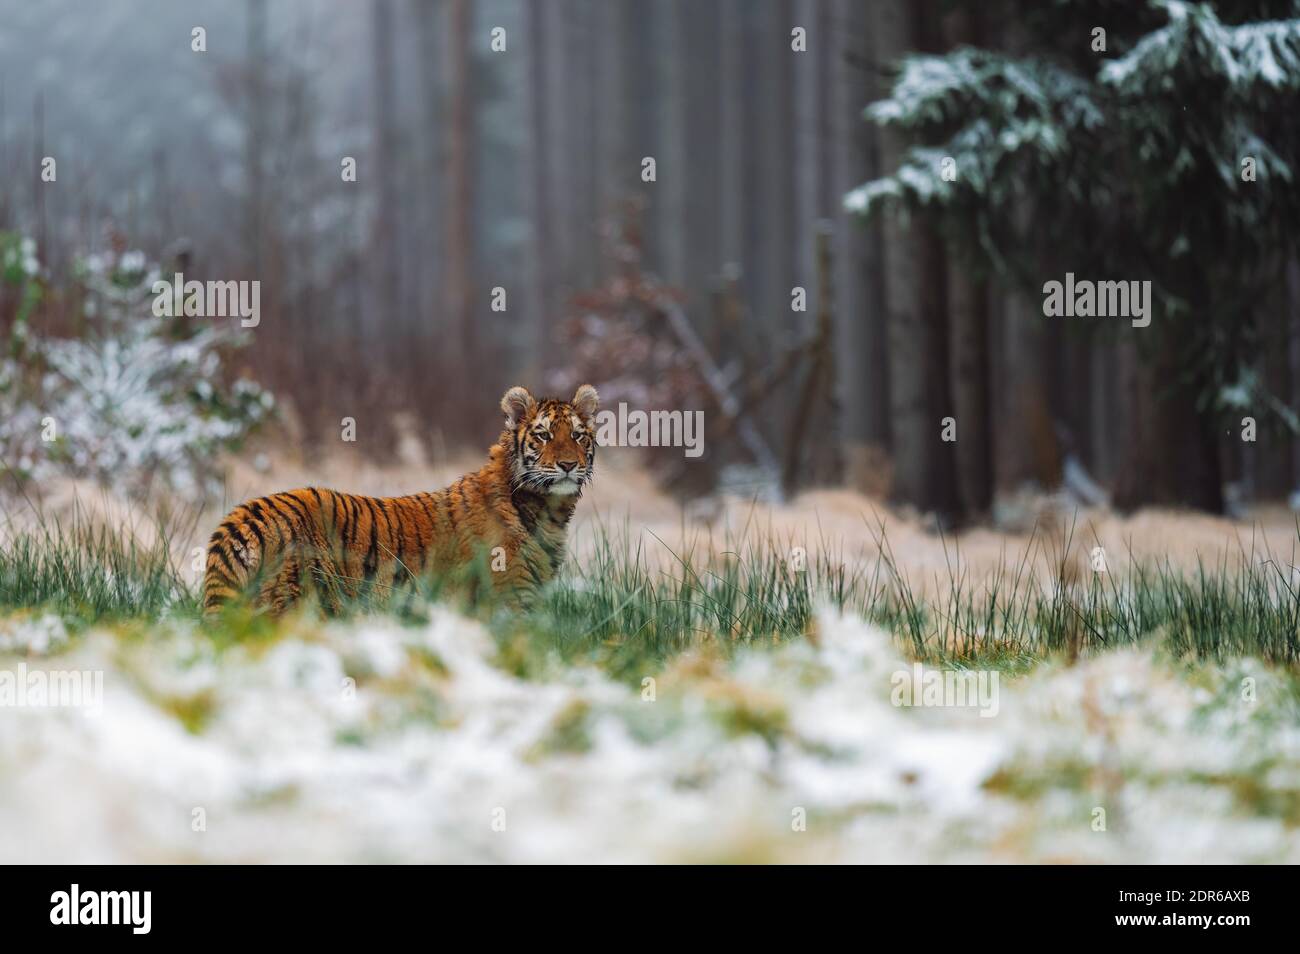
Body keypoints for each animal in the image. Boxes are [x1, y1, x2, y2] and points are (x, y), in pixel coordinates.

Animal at [201, 387, 598, 621]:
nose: (568, 464)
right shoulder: (508, 605)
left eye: (578, 435)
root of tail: (244, 517)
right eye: (543, 434)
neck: (548, 511)